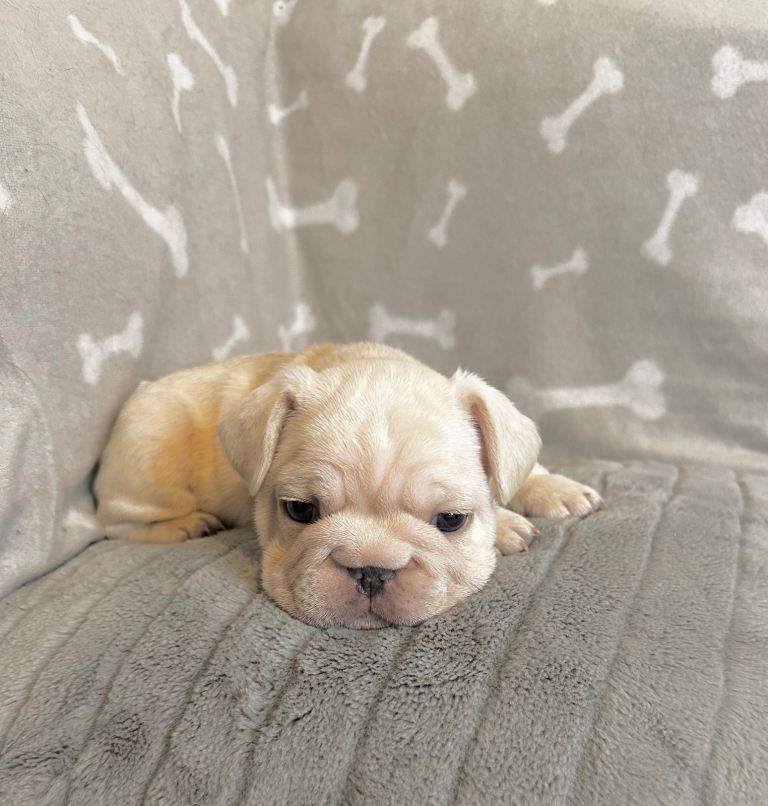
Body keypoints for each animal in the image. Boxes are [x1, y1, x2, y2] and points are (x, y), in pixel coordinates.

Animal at [95, 342, 603, 628]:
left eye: (450, 520)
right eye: (300, 510)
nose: (371, 571)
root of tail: (141, 390)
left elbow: (520, 464)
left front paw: (550, 489)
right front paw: (506, 526)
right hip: (149, 470)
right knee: (116, 522)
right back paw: (185, 525)